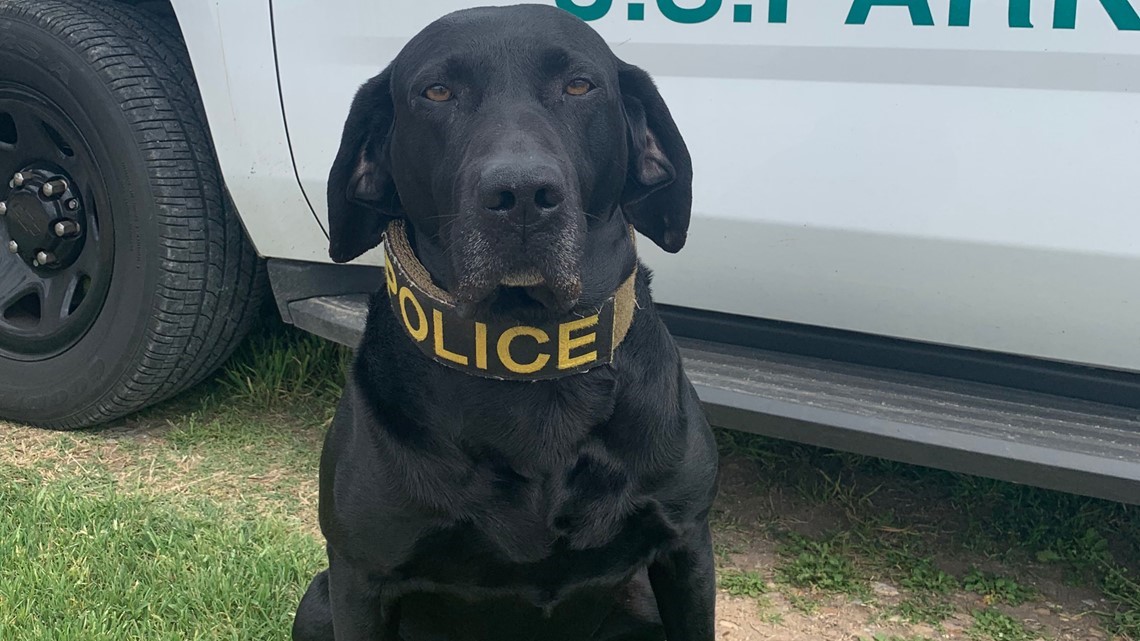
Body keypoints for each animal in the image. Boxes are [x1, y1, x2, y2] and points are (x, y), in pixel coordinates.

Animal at [296, 6, 720, 638]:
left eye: (580, 85)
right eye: (437, 91)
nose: (522, 194)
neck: (525, 351)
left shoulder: (686, 547)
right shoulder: (359, 577)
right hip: (317, 601)